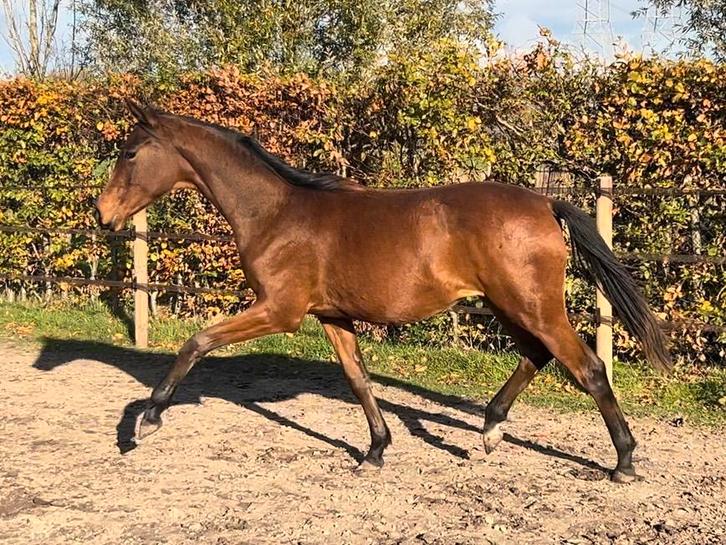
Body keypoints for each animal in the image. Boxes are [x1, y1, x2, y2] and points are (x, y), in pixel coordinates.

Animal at [96, 100, 671, 483]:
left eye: (129, 152)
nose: (102, 215)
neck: (276, 213)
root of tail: (545, 203)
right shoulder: (331, 315)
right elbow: (358, 379)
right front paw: (375, 450)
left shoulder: (280, 310)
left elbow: (197, 342)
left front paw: (146, 421)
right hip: (507, 305)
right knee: (538, 355)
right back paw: (489, 429)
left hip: (532, 306)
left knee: (587, 368)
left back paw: (623, 462)